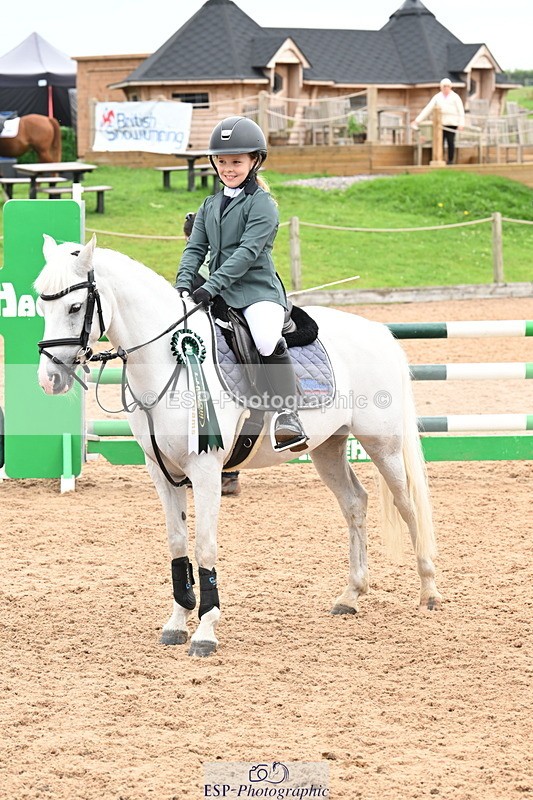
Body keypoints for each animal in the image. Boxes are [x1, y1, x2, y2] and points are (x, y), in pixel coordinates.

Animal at [35, 235, 442, 657]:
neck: (168, 360)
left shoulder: (206, 470)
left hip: (383, 446)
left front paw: (205, 630)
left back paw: (428, 591)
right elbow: (177, 543)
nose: (49, 379)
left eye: (75, 306)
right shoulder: (161, 471)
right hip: (327, 447)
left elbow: (204, 546)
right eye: (41, 304)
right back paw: (351, 595)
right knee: (354, 503)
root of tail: (378, 331)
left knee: (408, 506)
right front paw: (177, 622)